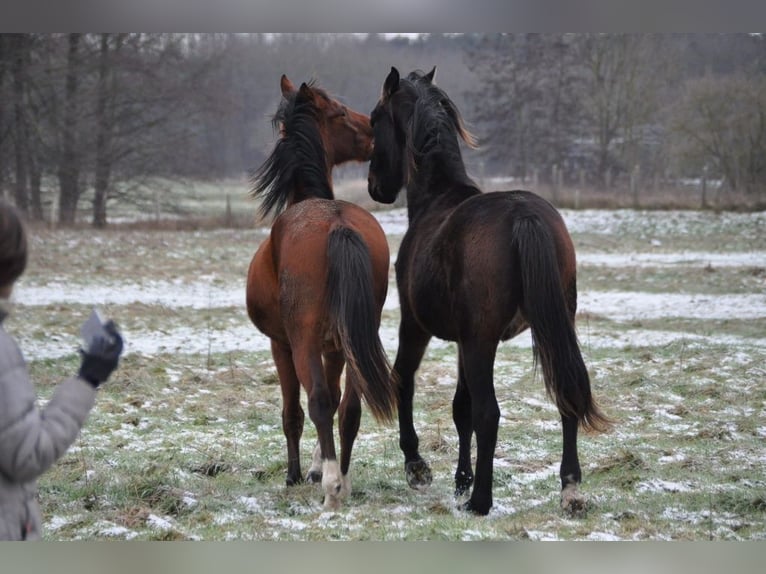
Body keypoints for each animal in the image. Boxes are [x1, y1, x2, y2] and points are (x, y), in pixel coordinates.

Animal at [249, 76, 400, 512]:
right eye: (341, 112)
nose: (375, 131)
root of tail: (338, 224)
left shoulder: (281, 344)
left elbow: (295, 412)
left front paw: (298, 474)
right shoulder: (334, 347)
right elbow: (335, 401)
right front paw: (317, 467)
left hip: (301, 342)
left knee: (315, 401)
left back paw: (332, 485)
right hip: (353, 342)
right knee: (349, 407)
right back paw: (343, 479)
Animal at [366, 67, 612, 516]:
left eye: (375, 119)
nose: (377, 186)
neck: (437, 198)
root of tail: (525, 216)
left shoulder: (417, 326)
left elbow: (405, 382)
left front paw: (418, 467)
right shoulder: (464, 340)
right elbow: (459, 408)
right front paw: (460, 479)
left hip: (482, 341)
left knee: (489, 412)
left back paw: (480, 500)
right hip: (551, 327)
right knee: (565, 395)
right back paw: (569, 488)